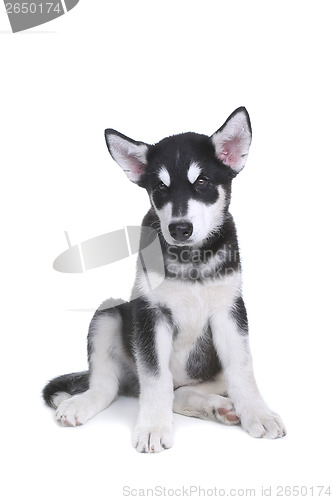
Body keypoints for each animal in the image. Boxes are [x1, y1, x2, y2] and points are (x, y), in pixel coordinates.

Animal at [42, 108, 286, 454]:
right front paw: (153, 428)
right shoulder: (150, 313)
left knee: (182, 391)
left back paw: (221, 407)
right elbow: (156, 378)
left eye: (202, 182)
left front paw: (258, 414)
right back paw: (83, 402)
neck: (191, 259)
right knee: (111, 385)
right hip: (109, 314)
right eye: (160, 186)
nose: (180, 228)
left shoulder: (230, 310)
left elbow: (243, 368)